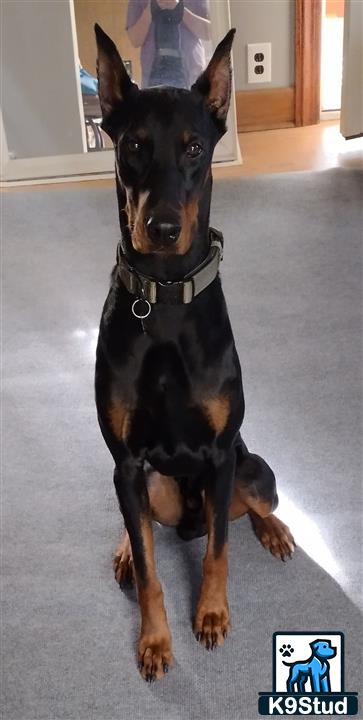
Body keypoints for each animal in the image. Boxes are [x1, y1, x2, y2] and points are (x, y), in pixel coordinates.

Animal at [94, 25, 296, 684]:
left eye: (193, 149)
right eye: (134, 144)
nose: (159, 229)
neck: (163, 295)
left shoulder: (220, 453)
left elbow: (218, 552)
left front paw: (209, 615)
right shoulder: (128, 461)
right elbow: (152, 571)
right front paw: (156, 641)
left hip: (251, 468)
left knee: (241, 511)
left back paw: (276, 530)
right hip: (148, 482)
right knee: (142, 527)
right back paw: (125, 550)